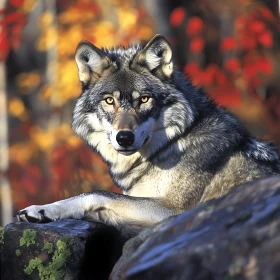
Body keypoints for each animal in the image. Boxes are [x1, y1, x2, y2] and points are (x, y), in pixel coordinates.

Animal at [15, 34, 280, 236]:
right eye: (109, 101)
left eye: (143, 99)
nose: (124, 138)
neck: (173, 144)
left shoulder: (172, 211)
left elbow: (97, 192)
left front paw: (42, 209)